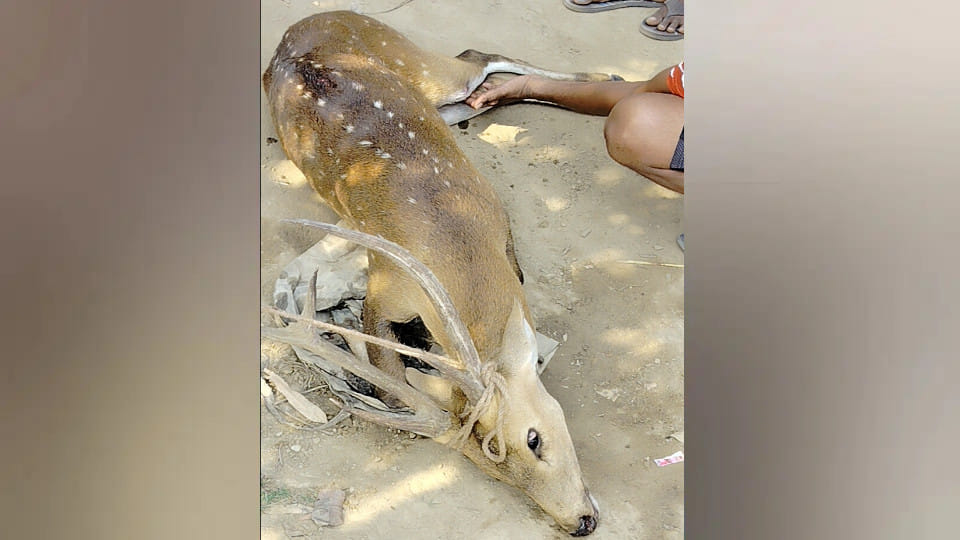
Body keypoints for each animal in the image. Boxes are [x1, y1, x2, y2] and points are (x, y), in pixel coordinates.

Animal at [261, 10, 619, 536]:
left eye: (533, 439)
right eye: (486, 463)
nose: (581, 522)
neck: (459, 239)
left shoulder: (496, 208)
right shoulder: (384, 285)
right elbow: (389, 376)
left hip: (417, 62)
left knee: (477, 58)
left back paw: (610, 75)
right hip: (432, 87)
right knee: (473, 89)